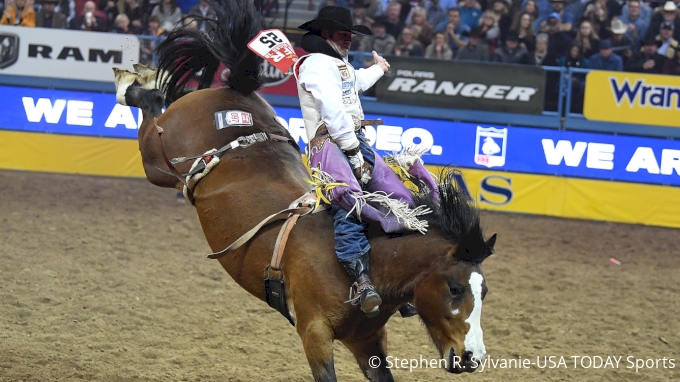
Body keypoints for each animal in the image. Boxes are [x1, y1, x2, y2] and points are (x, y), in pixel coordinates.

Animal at [110, 0, 494, 380]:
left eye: (485, 291)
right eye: (455, 288)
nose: (472, 358)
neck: (372, 265)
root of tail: (235, 89)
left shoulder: (367, 339)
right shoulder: (314, 333)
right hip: (158, 161)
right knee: (151, 107)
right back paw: (132, 82)